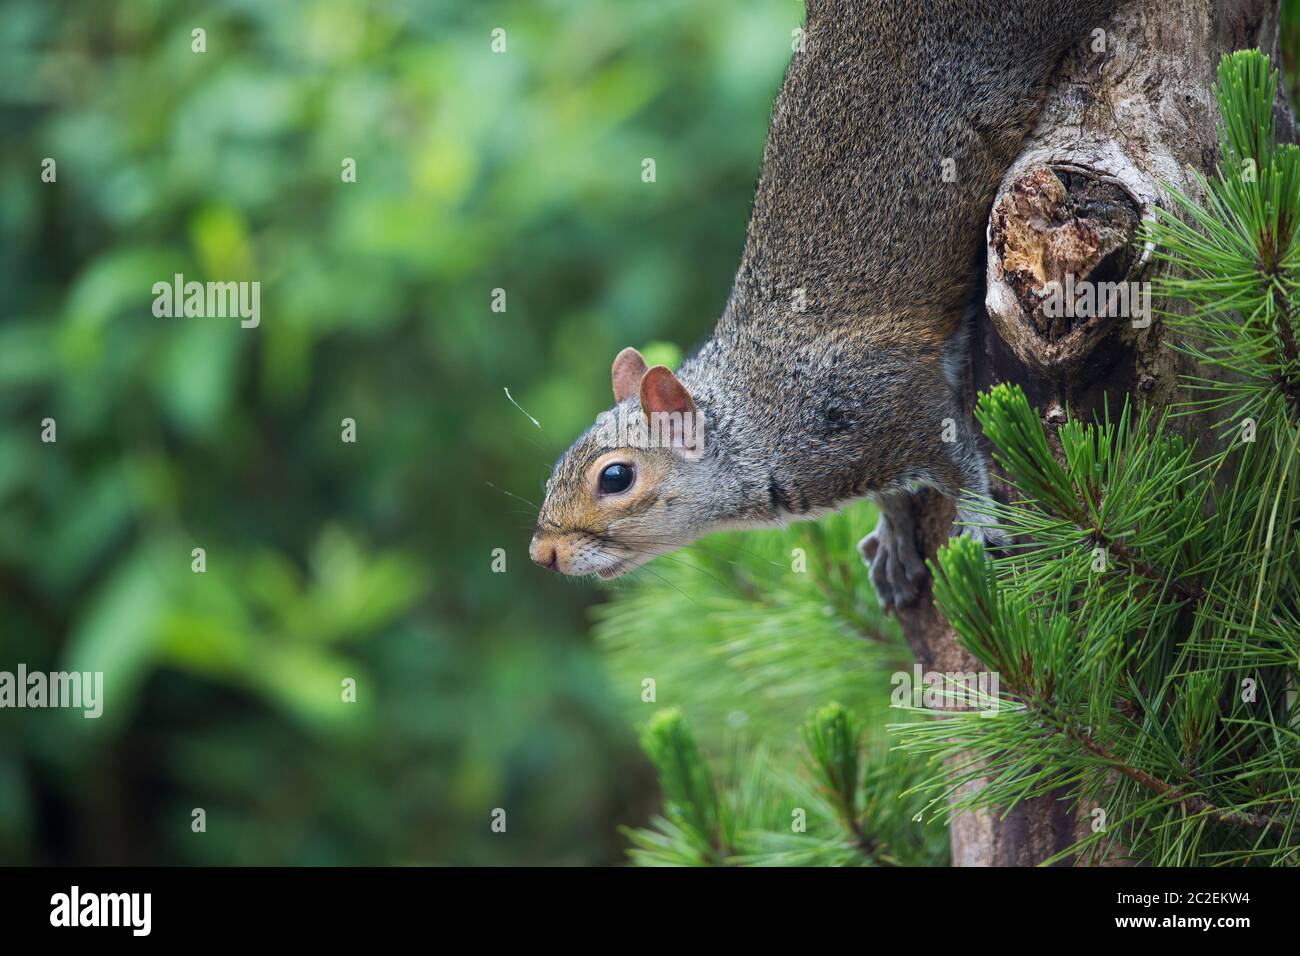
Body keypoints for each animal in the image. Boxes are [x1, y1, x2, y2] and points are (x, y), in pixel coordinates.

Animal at [527, 0, 1118, 608]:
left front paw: (978, 522)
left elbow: (959, 463)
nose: (541, 554)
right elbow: (894, 493)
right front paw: (895, 537)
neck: (759, 420)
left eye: (615, 477)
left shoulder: (896, 400)